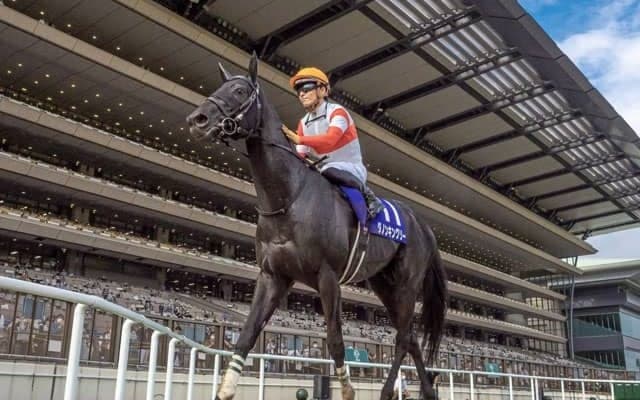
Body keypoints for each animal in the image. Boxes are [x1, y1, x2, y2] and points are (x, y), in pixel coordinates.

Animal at [186, 53, 448, 400]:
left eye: (240, 91)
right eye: (220, 87)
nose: (197, 119)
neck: (289, 197)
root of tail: (424, 225)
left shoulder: (328, 277)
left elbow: (335, 342)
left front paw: (348, 390)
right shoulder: (273, 276)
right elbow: (246, 335)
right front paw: (225, 390)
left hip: (407, 284)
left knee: (403, 338)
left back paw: (386, 391)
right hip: (384, 285)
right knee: (413, 338)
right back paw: (429, 392)